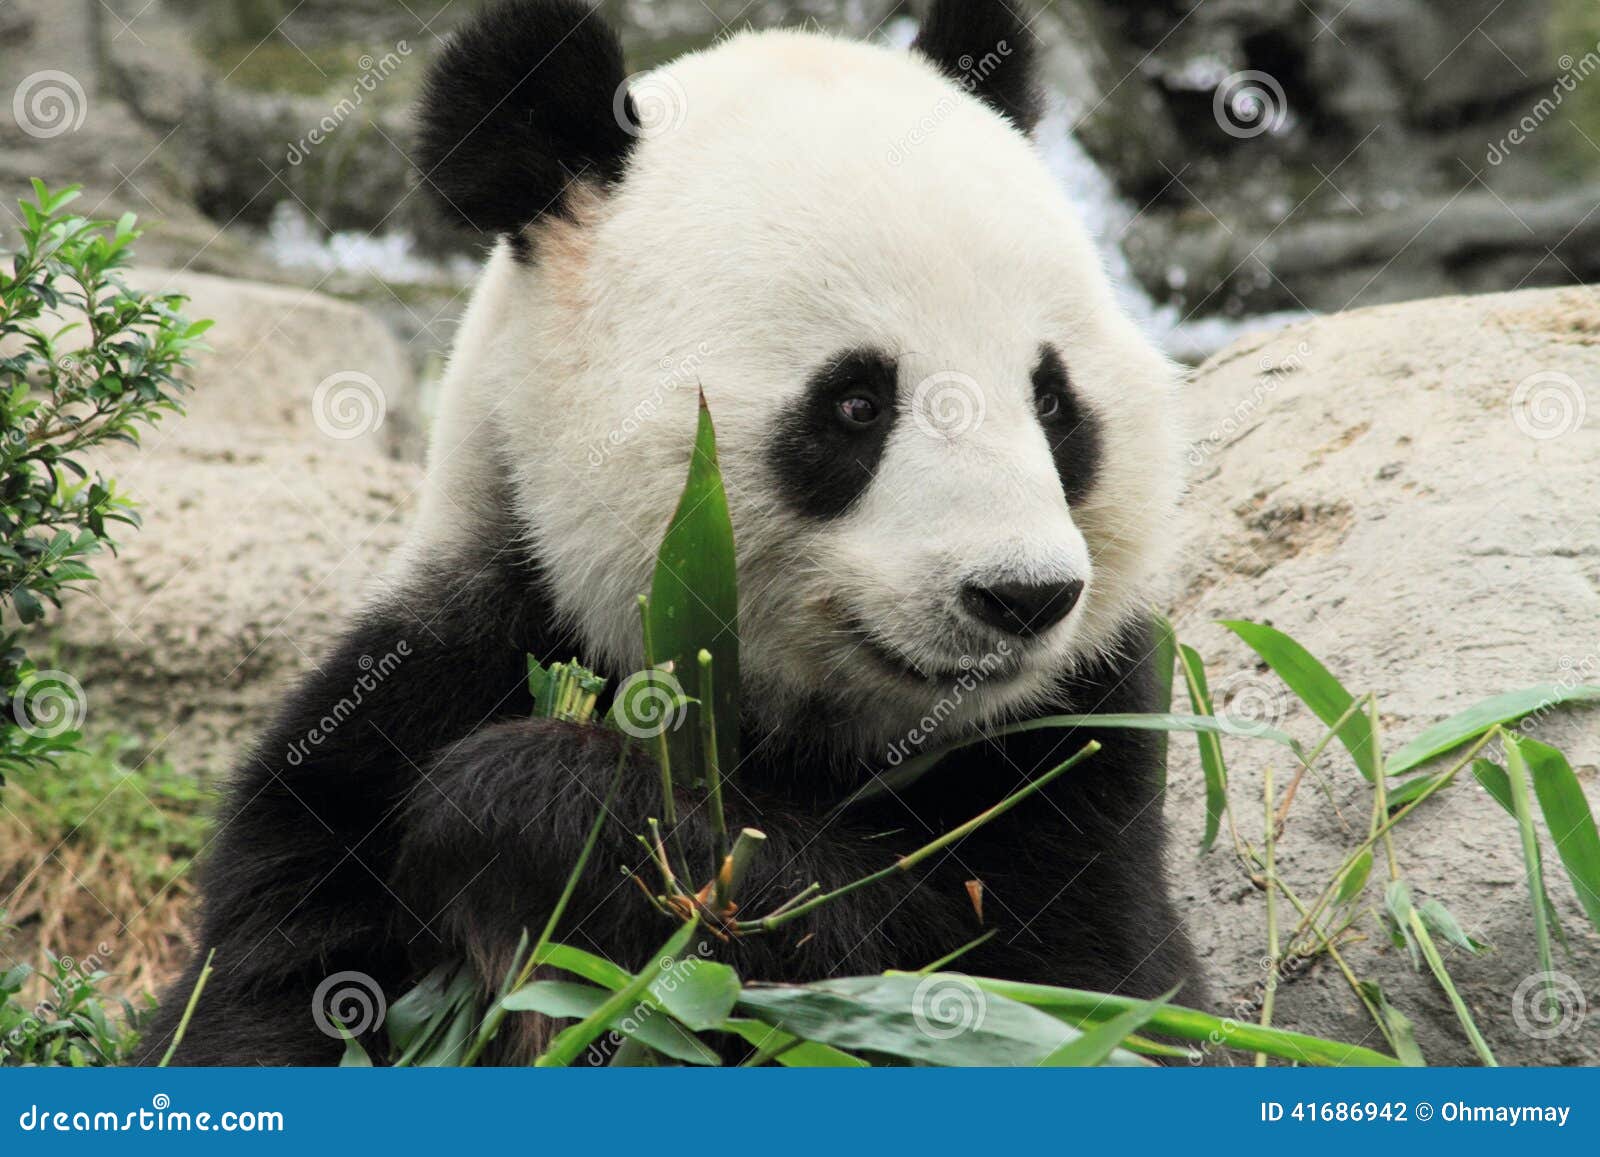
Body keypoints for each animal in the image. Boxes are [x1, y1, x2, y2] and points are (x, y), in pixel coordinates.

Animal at [144, 0, 1203, 1068]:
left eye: (1055, 402)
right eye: (857, 402)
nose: (1021, 596)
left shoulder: (1083, 746)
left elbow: (1044, 989)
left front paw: (517, 805)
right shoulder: (430, 677)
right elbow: (272, 983)